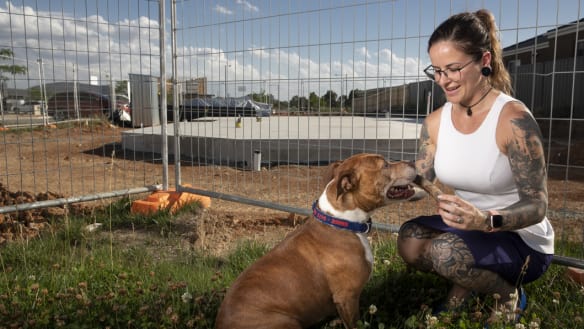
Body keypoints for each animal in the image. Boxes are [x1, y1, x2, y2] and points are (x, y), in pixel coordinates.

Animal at [214, 154, 420, 328]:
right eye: (385, 165)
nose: (413, 161)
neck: (343, 221)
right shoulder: (347, 297)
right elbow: (354, 324)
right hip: (287, 322)